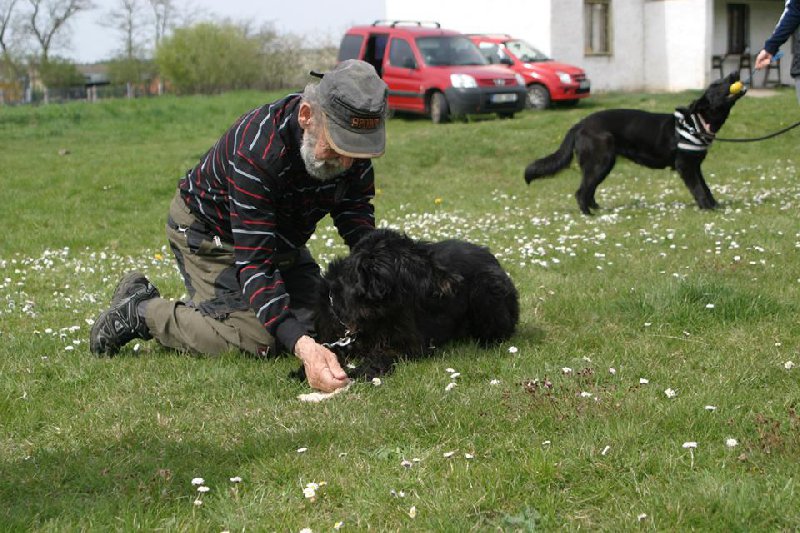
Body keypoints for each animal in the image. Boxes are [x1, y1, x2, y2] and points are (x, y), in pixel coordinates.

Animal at [528, 72, 748, 214]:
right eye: (717, 84)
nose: (734, 72)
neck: (696, 122)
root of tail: (579, 125)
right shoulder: (685, 166)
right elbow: (698, 189)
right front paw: (708, 209)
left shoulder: (695, 165)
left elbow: (705, 187)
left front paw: (714, 205)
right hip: (599, 162)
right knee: (581, 192)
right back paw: (588, 214)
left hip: (604, 164)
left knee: (589, 190)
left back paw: (597, 209)